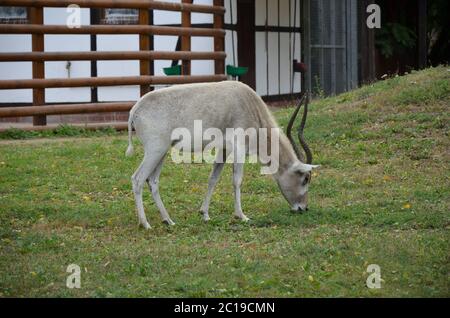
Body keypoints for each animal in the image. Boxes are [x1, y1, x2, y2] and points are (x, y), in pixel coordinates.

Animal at [125, 80, 318, 229]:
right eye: (305, 178)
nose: (303, 208)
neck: (249, 104)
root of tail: (135, 110)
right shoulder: (239, 148)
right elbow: (237, 181)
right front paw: (241, 216)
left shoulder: (223, 150)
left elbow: (213, 178)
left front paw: (204, 214)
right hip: (155, 150)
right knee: (138, 179)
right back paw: (145, 224)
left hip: (162, 152)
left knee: (153, 181)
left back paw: (168, 220)